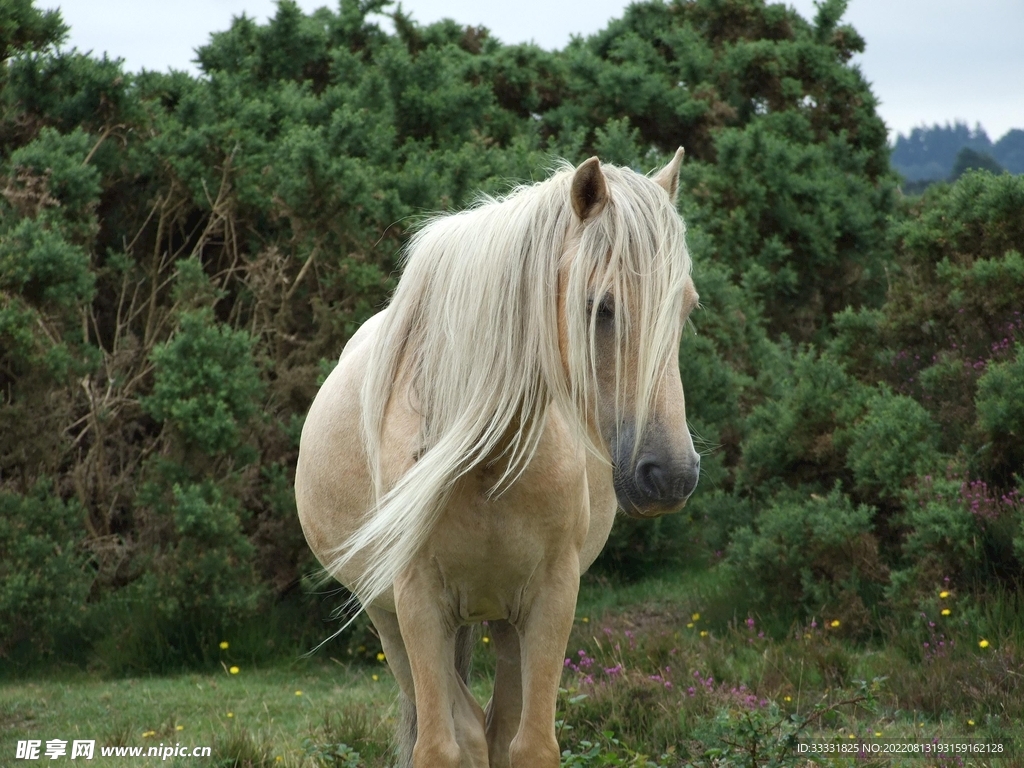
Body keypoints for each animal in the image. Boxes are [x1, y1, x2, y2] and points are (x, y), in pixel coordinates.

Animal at [295, 150, 700, 768]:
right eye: (599, 307)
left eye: (685, 307)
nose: (670, 475)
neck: (486, 462)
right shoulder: (417, 601)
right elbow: (443, 743)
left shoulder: (552, 597)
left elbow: (529, 743)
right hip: (388, 619)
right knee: (463, 724)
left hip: (508, 621)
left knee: (496, 723)